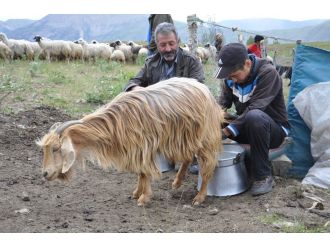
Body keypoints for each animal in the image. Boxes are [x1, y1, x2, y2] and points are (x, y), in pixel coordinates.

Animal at [38, 77, 224, 206]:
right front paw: (136, 192)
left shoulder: (144, 146)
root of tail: (207, 91)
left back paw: (199, 197)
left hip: (205, 137)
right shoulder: (136, 147)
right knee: (187, 156)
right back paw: (177, 182)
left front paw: (143, 198)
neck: (117, 120)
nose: (45, 173)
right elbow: (141, 172)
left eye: (56, 148)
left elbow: (145, 170)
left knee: (207, 166)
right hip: (183, 137)